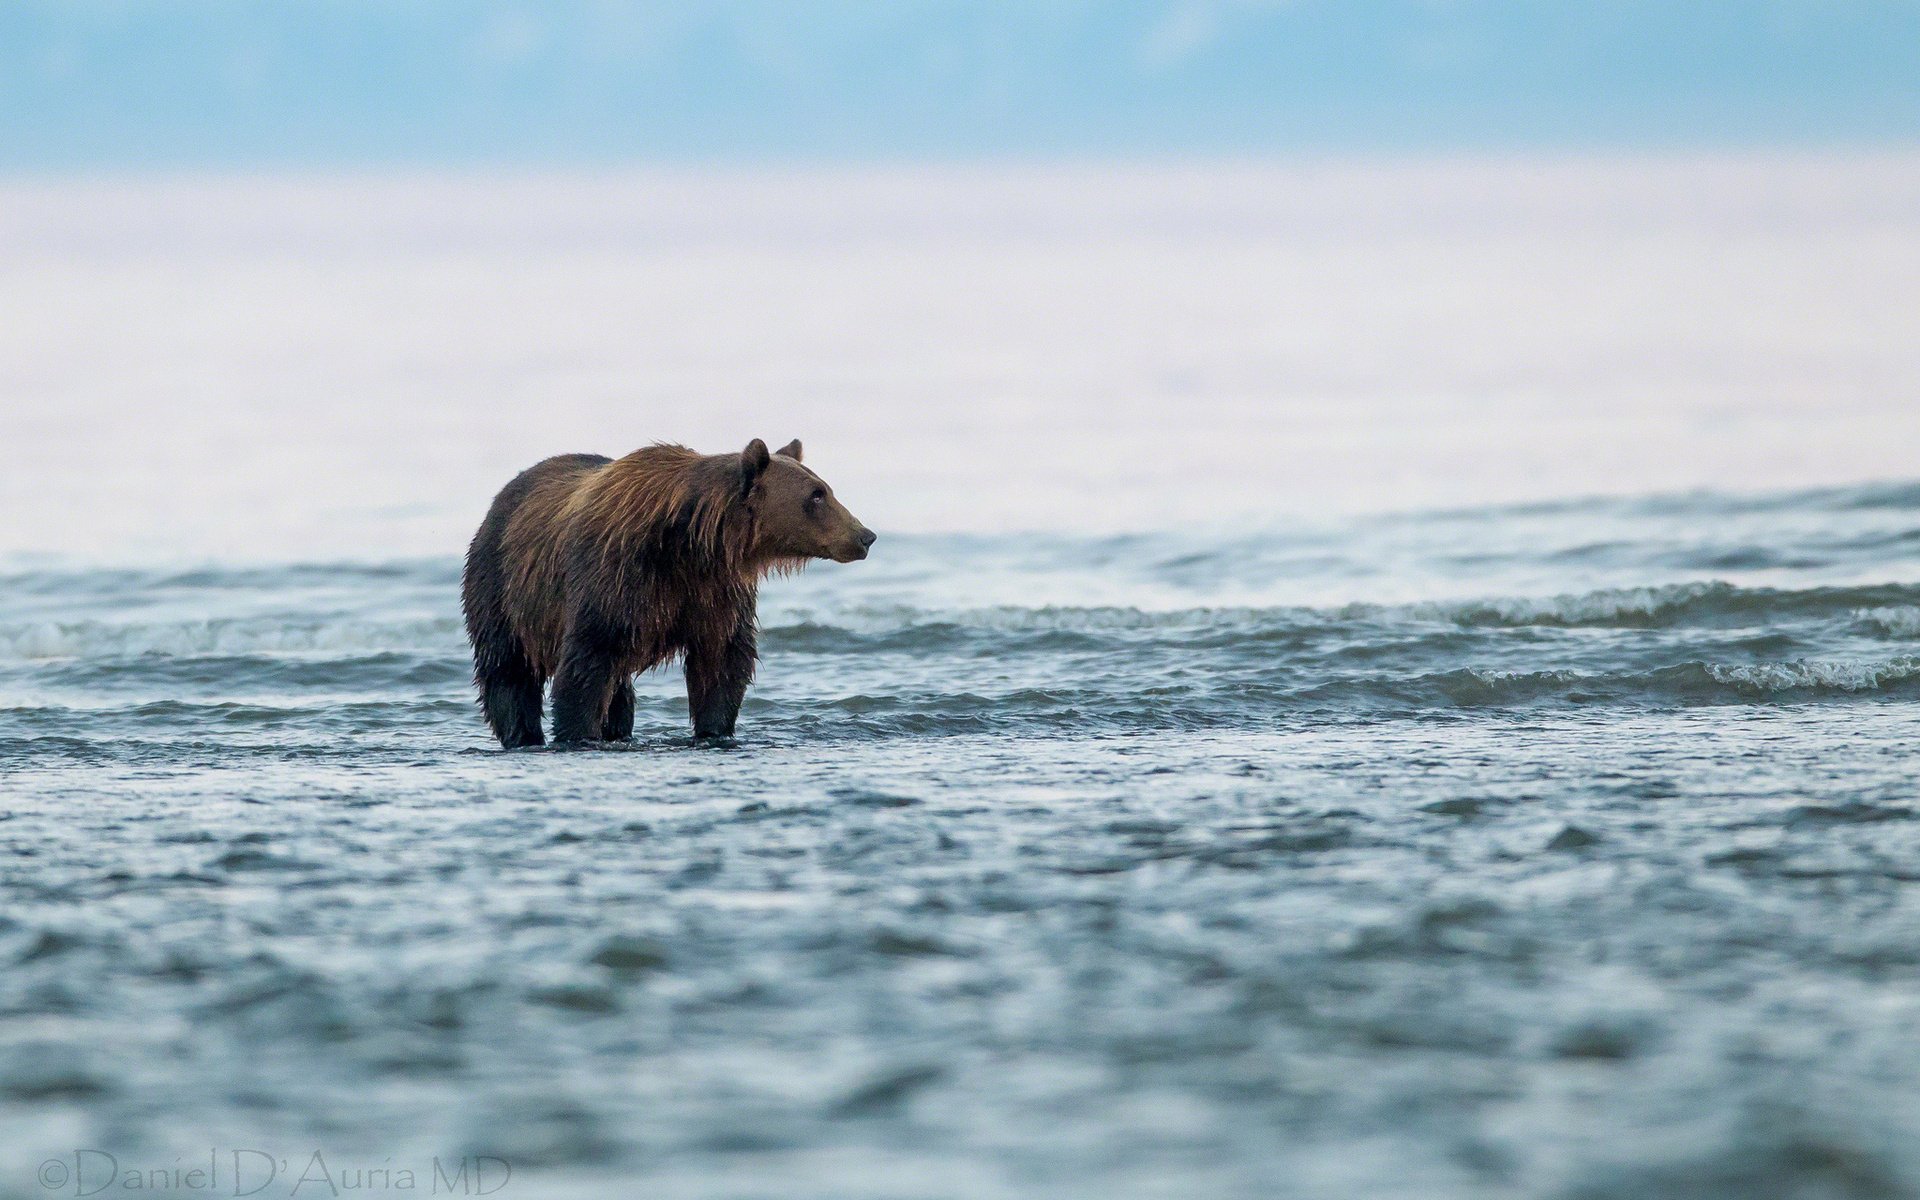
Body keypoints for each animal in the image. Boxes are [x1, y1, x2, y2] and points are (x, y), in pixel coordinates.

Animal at [460, 438, 873, 748]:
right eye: (817, 495)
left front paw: (714, 730)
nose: (865, 535)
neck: (690, 541)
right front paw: (577, 732)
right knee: (507, 668)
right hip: (499, 583)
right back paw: (522, 733)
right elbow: (586, 663)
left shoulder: (714, 591)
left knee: (619, 689)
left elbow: (721, 661)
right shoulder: (616, 577)